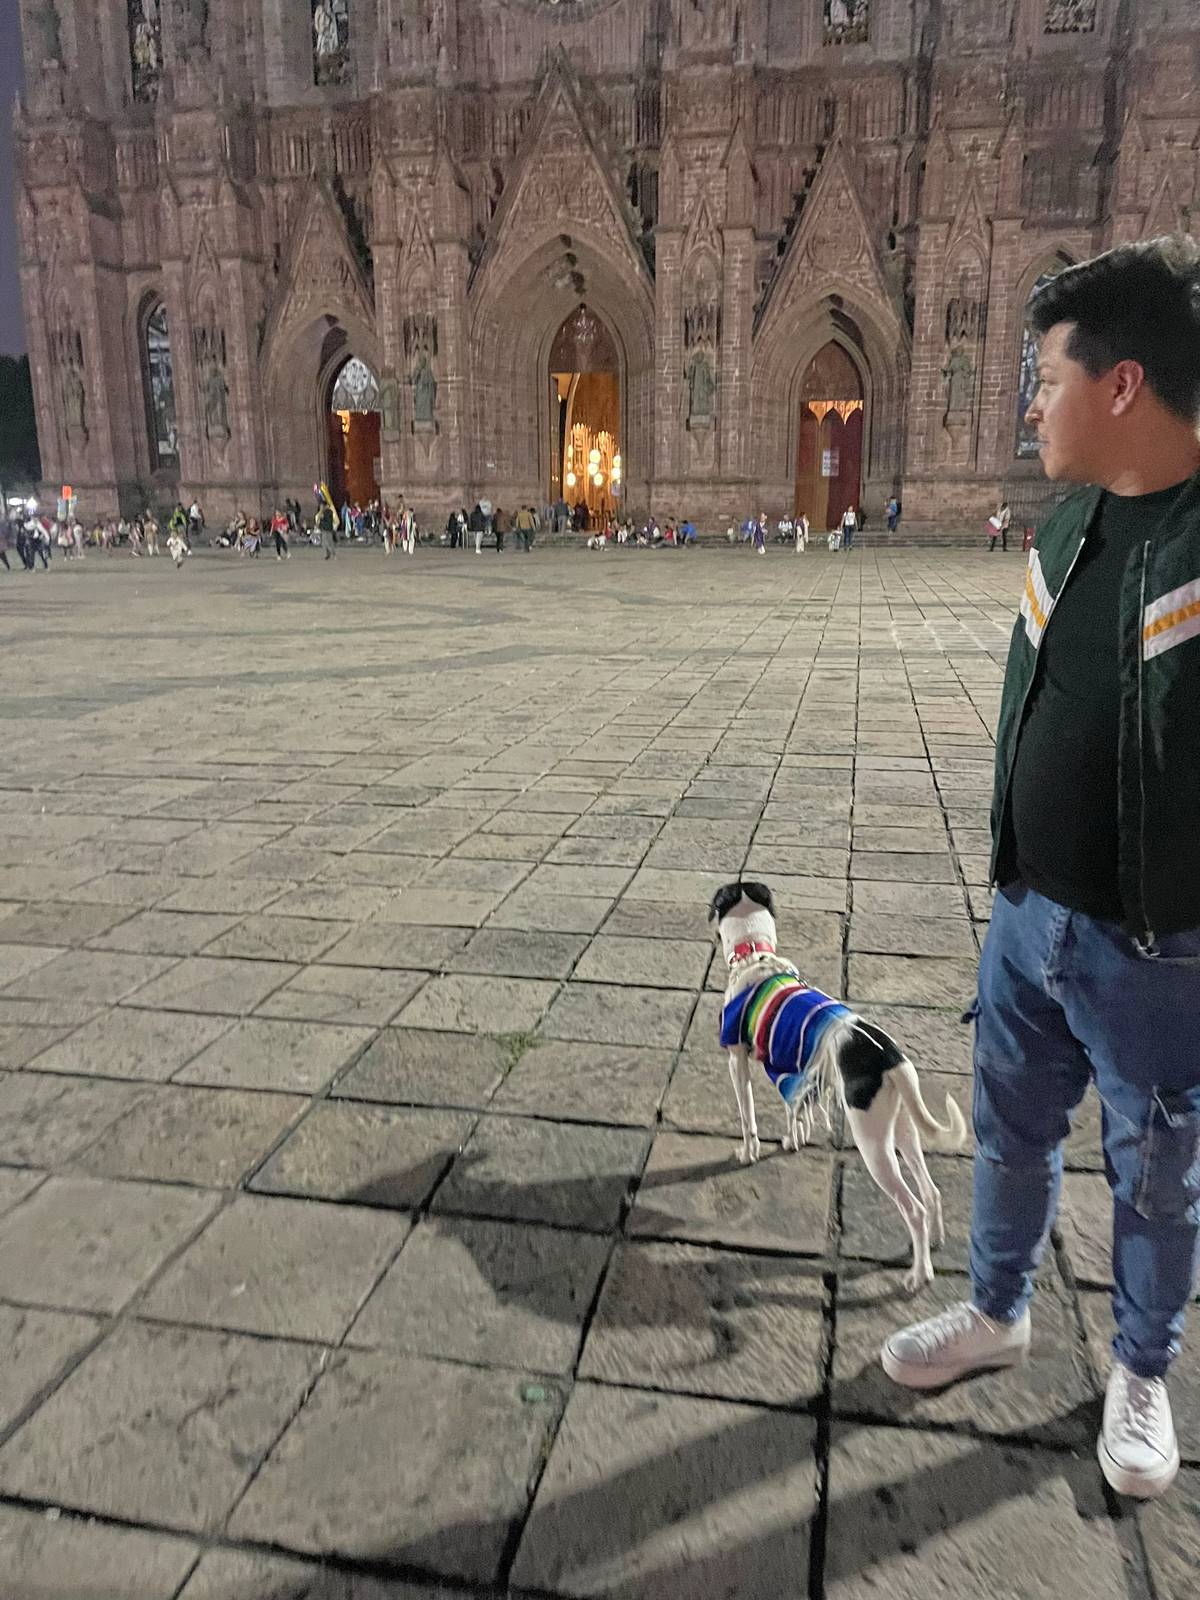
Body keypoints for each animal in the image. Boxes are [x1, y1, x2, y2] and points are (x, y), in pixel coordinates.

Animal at [710, 883, 972, 1292]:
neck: (754, 953)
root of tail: (890, 1058)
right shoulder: (792, 1067)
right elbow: (794, 1110)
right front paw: (793, 1140)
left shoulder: (737, 1060)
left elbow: (747, 1116)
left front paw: (748, 1152)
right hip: (901, 1127)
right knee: (930, 1192)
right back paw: (935, 1241)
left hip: (873, 1144)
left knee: (913, 1207)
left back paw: (920, 1273)